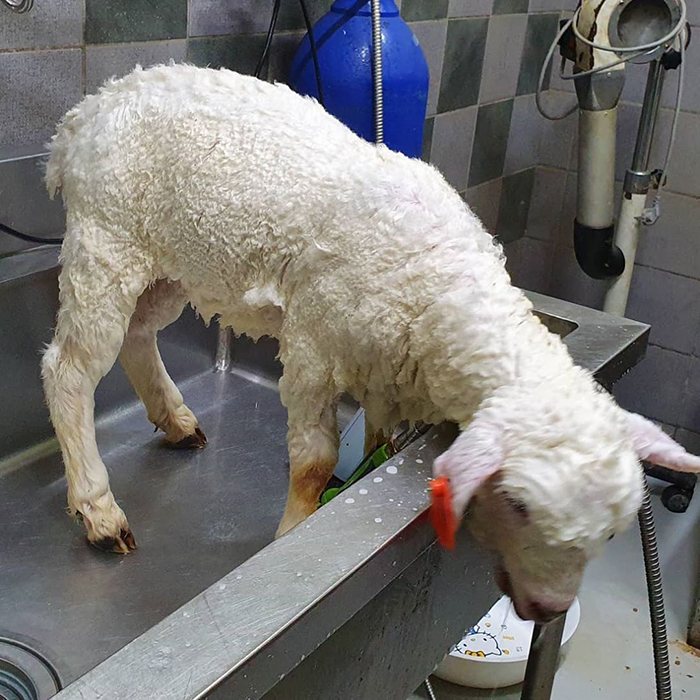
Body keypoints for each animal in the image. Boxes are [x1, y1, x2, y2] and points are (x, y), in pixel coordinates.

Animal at [42, 64, 700, 623]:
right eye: (518, 505)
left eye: (610, 533)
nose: (547, 609)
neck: (444, 284)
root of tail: (88, 111)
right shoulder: (312, 346)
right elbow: (314, 461)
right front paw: (293, 535)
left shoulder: (386, 369)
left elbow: (378, 438)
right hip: (106, 240)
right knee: (68, 369)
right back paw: (99, 509)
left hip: (167, 263)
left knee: (137, 336)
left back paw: (175, 420)